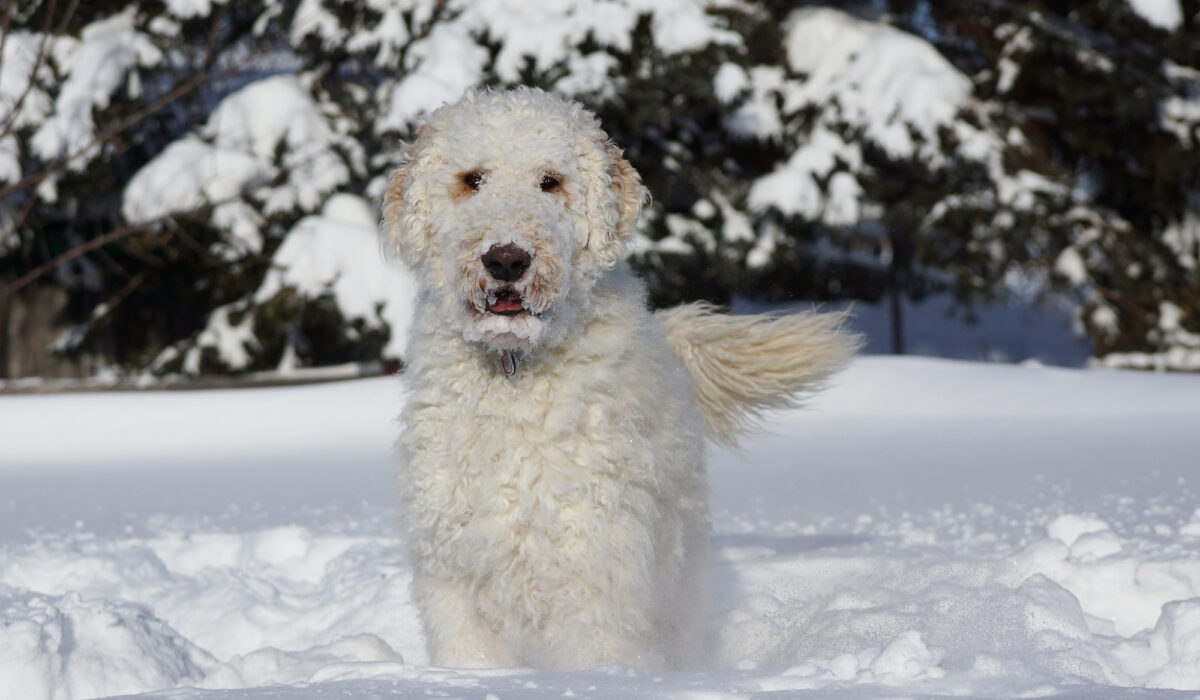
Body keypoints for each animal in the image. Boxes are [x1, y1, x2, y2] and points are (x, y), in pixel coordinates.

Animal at [379, 88, 859, 672]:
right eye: (473, 179)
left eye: (550, 181)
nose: (507, 259)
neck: (516, 372)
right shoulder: (456, 568)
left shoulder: (594, 565)